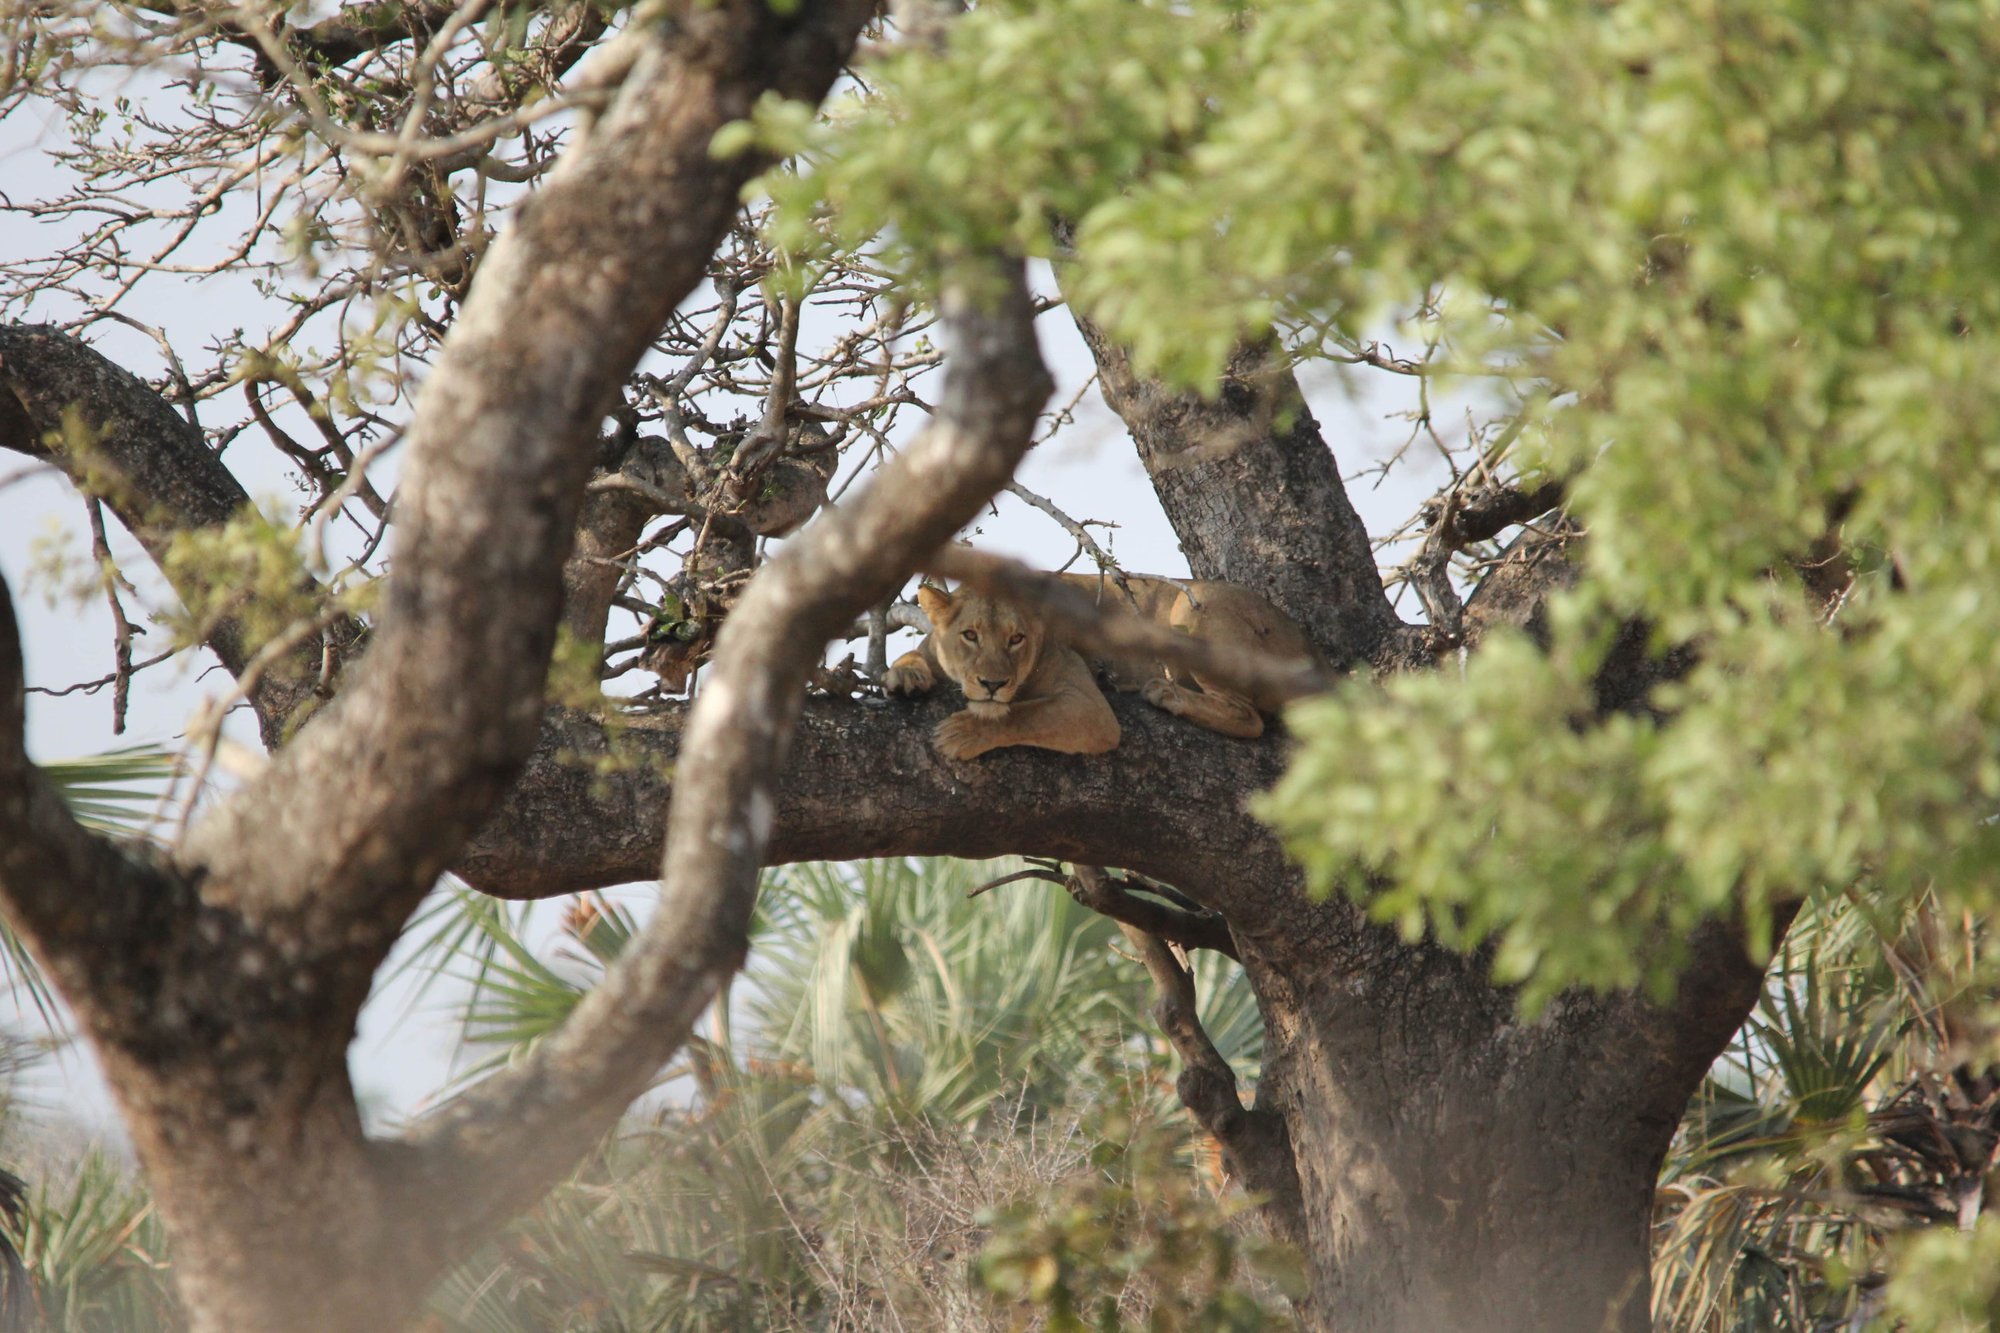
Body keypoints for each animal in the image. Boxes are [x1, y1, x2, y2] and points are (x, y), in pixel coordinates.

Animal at [883, 570, 1320, 760]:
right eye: (970, 635)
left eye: (1016, 638)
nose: (993, 683)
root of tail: (1308, 644)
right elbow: (912, 655)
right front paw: (904, 675)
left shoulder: (1088, 708)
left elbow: (1024, 715)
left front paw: (961, 733)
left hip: (1190, 605)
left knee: (1249, 718)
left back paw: (1166, 693)